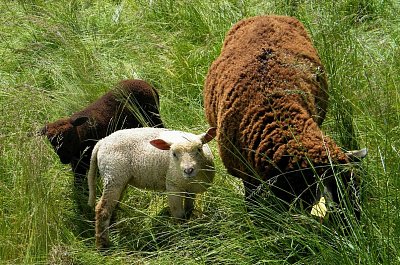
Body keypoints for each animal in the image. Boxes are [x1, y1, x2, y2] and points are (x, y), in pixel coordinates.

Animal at [40, 78, 164, 206]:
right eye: (51, 141)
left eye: (71, 136)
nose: (64, 158)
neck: (82, 135)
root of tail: (148, 84)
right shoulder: (77, 164)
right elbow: (78, 183)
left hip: (153, 116)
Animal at [87, 126, 217, 248]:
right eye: (174, 154)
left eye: (199, 149)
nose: (188, 170)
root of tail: (102, 141)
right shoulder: (173, 186)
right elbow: (179, 215)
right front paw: (182, 236)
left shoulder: (190, 190)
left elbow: (189, 210)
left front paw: (190, 228)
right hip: (113, 176)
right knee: (102, 210)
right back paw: (102, 245)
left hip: (118, 179)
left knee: (112, 206)